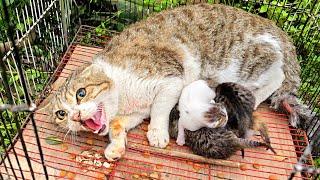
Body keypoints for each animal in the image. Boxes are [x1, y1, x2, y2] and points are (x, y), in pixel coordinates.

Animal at [37, 3, 308, 160]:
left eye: (81, 93)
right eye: (61, 114)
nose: (75, 116)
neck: (125, 97)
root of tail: (280, 32)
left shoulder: (170, 79)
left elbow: (160, 108)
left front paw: (157, 132)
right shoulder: (135, 112)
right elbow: (116, 124)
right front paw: (116, 146)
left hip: (252, 57)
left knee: (277, 78)